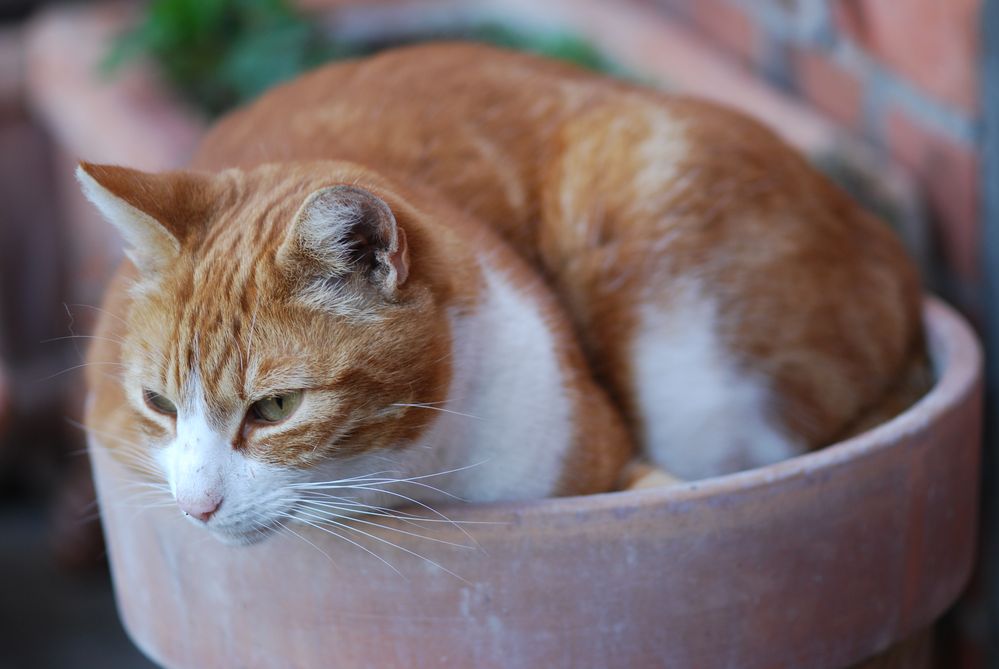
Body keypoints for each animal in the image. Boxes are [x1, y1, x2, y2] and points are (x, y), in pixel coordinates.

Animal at [82, 40, 924, 544]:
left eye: (276, 408)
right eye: (157, 404)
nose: (195, 508)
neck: (419, 478)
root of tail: (887, 247)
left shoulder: (609, 462)